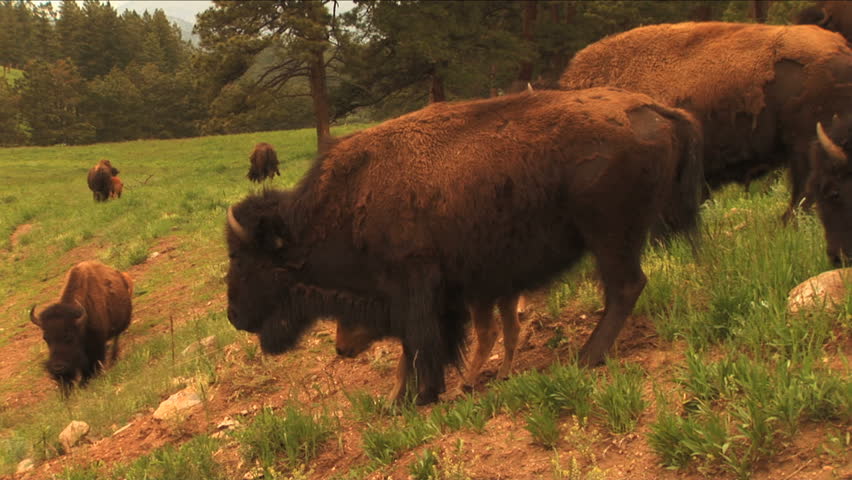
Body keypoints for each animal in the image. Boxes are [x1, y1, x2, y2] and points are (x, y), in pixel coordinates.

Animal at [30, 261, 133, 393]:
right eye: (45, 338)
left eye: (69, 337)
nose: (58, 368)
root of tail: (120, 275)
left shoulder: (96, 345)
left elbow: (93, 364)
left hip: (120, 326)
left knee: (116, 340)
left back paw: (113, 359)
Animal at [336, 295, 526, 396]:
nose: (340, 349)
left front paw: (392, 400)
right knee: (511, 329)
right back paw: (502, 374)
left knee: (489, 333)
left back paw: (462, 386)